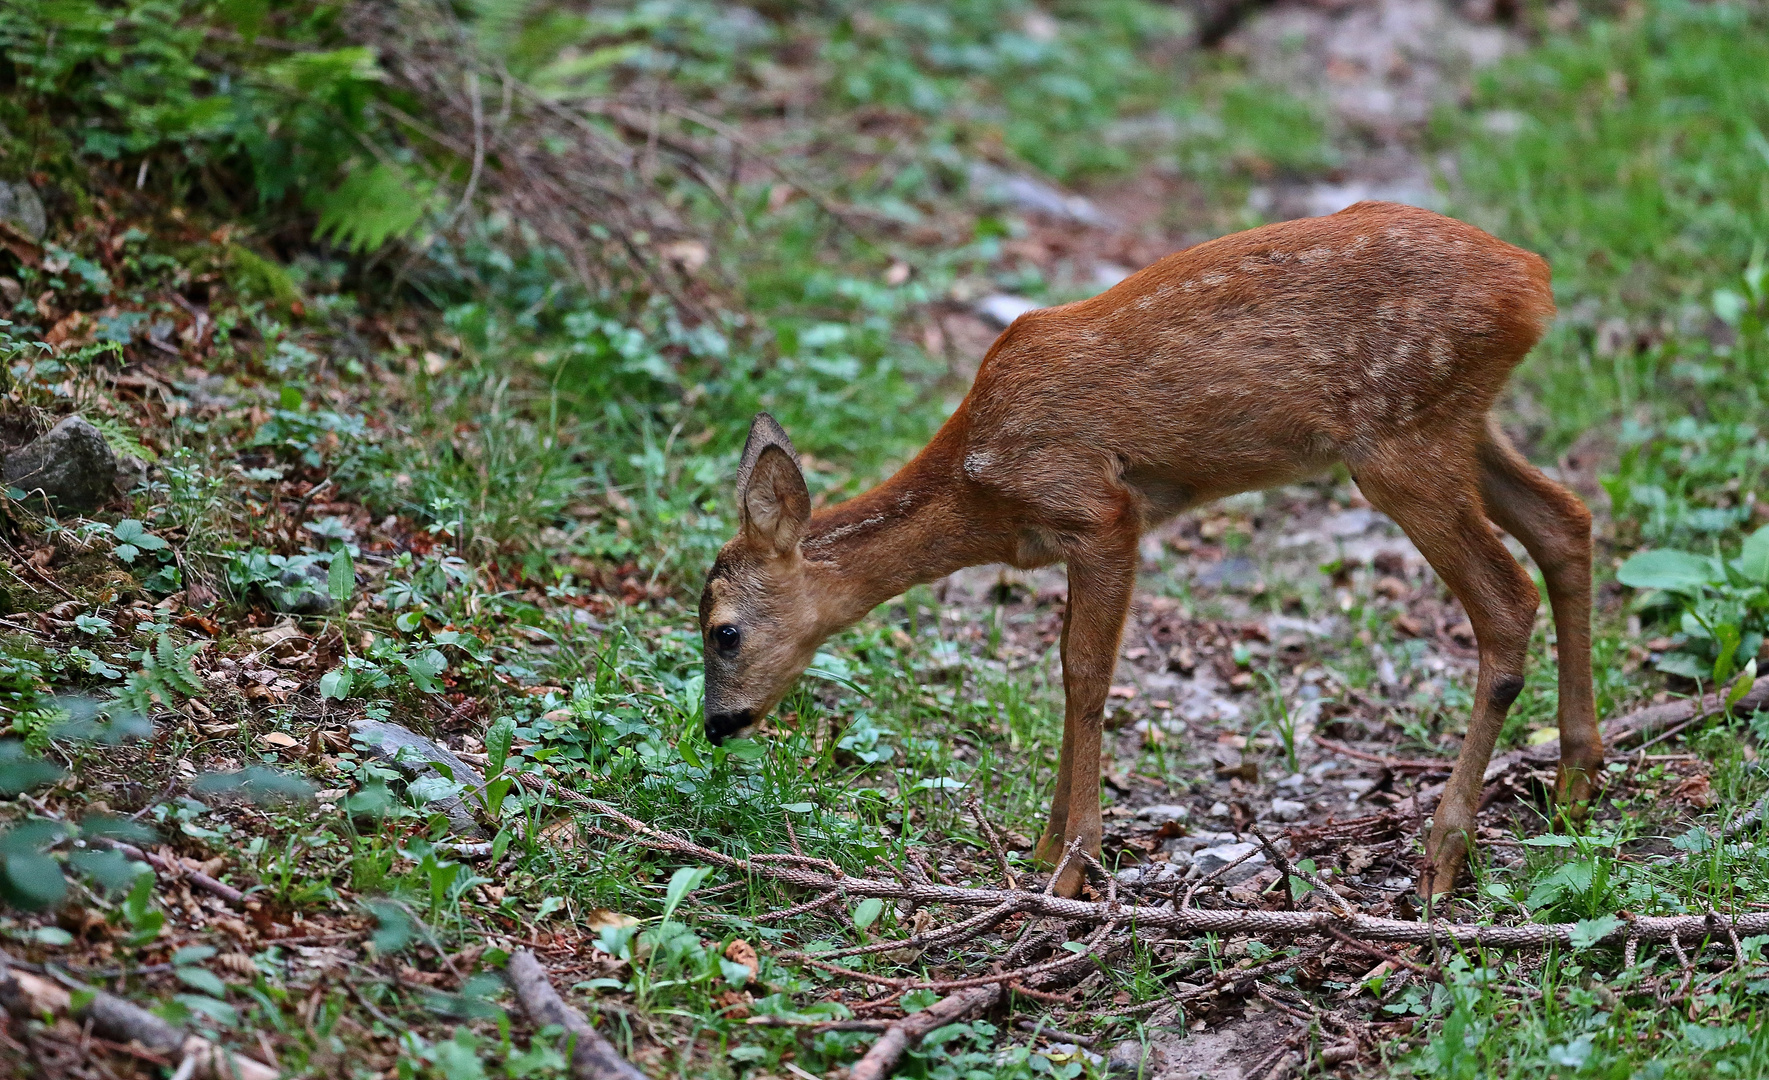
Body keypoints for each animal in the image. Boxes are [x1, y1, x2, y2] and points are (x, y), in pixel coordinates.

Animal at [696, 203, 1599, 894]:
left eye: (722, 631)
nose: (716, 725)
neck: (977, 488)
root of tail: (1535, 282)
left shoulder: (1097, 508)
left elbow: (1084, 673)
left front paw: (1072, 867)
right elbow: (1068, 667)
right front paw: (1041, 847)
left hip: (1399, 439)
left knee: (1505, 598)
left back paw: (1443, 856)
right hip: (1457, 425)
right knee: (1566, 521)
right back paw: (1574, 784)